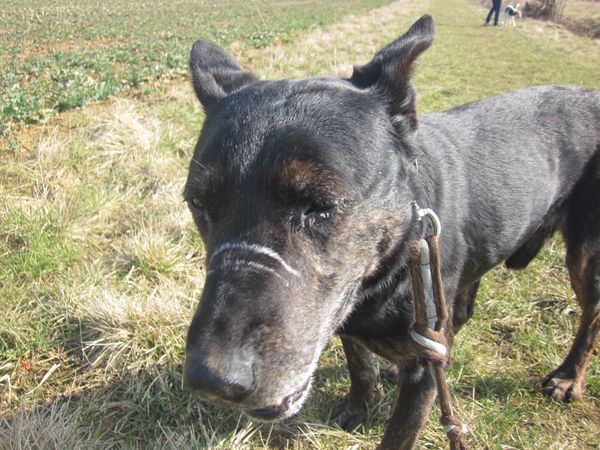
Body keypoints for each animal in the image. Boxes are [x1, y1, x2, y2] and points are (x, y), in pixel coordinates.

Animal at [183, 14, 600, 450]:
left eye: (321, 204)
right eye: (199, 203)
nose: (211, 380)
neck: (394, 260)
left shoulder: (422, 371)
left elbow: (399, 430)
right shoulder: (351, 318)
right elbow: (359, 365)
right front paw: (358, 405)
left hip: (585, 255)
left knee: (591, 315)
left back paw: (568, 377)